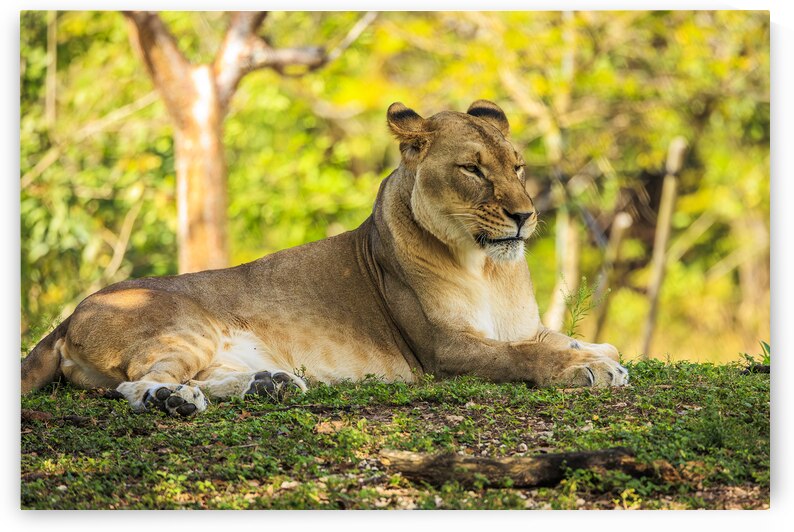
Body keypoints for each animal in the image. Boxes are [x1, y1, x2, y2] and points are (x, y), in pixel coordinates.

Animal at [21, 100, 628, 417]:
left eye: (517, 166)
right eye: (473, 169)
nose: (525, 214)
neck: (488, 267)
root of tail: (68, 317)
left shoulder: (518, 324)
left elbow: (557, 338)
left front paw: (601, 351)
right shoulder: (442, 350)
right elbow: (525, 355)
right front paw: (590, 368)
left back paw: (269, 384)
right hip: (184, 324)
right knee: (135, 385)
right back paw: (172, 399)